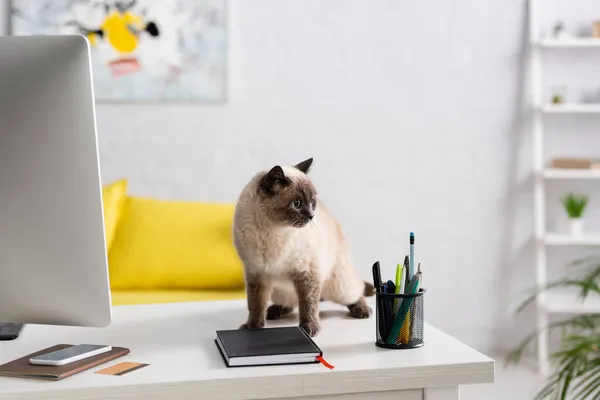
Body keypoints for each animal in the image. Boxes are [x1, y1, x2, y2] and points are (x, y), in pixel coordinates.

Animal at [232, 158, 372, 336]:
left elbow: (308, 305)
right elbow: (256, 304)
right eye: (296, 204)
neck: (271, 230)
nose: (311, 216)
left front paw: (309, 328)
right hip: (280, 290)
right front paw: (252, 327)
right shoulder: (256, 273)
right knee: (290, 302)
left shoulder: (306, 273)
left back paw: (363, 310)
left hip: (339, 285)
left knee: (355, 291)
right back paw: (274, 311)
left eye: (312, 202)